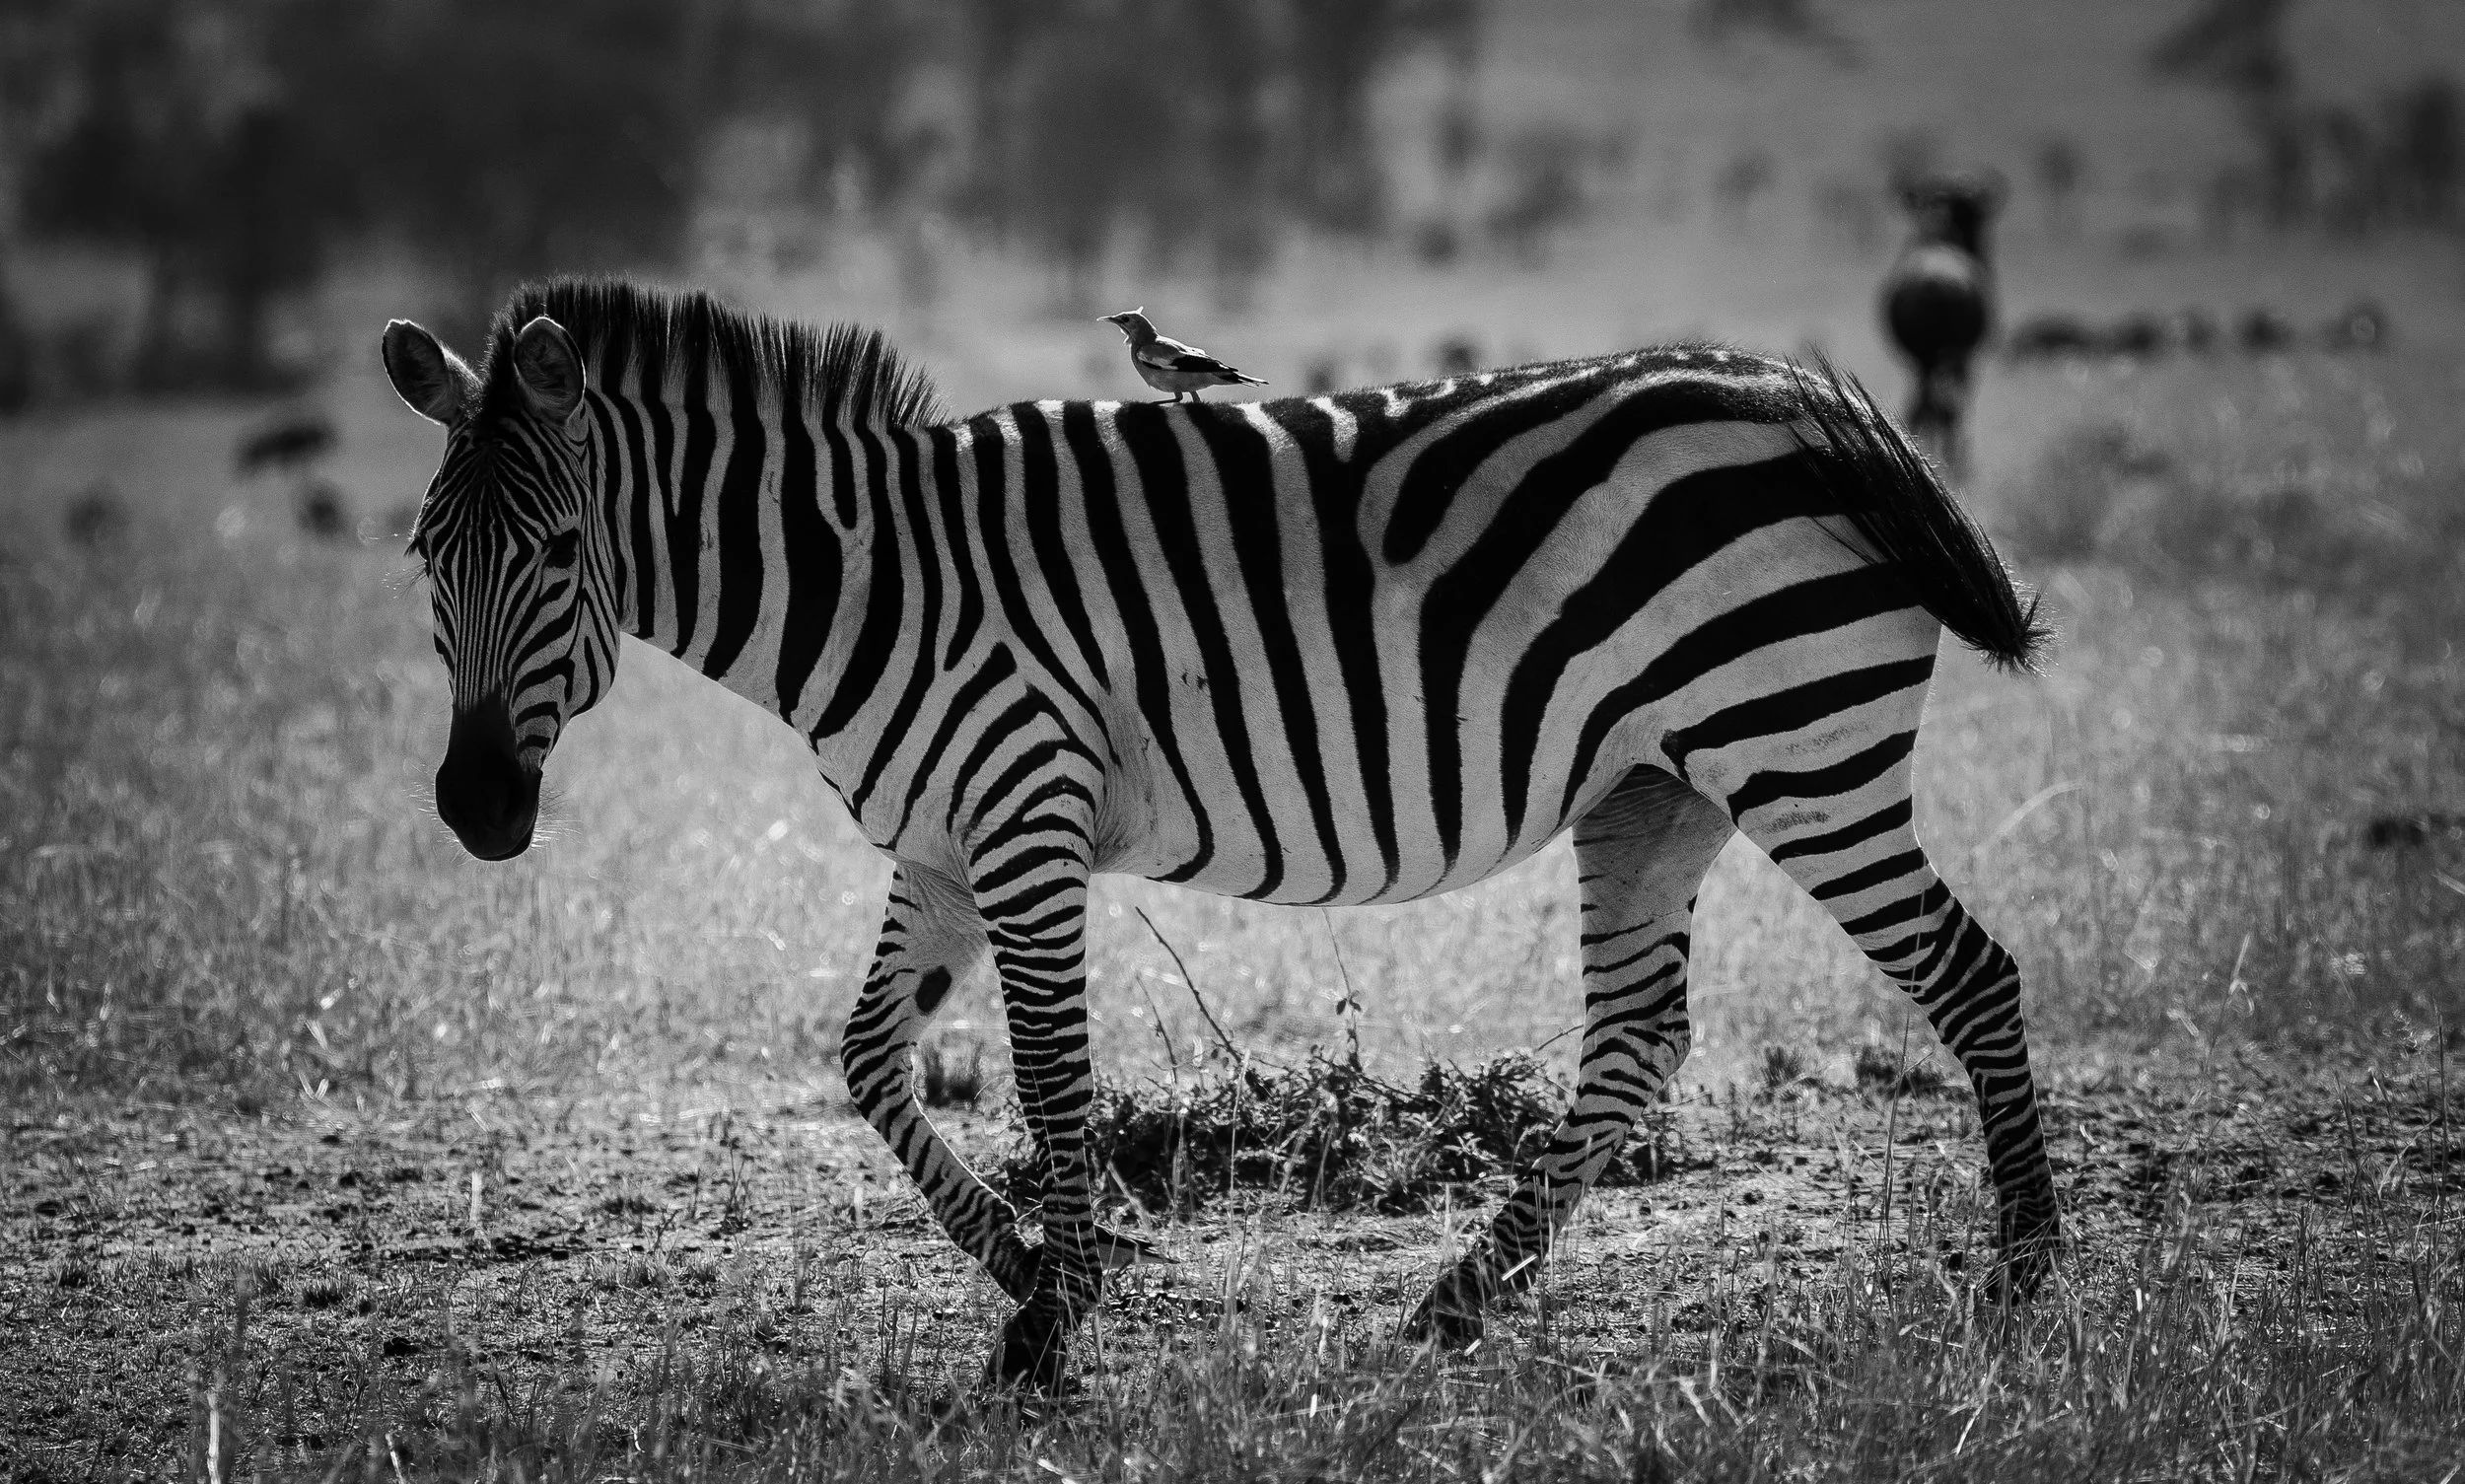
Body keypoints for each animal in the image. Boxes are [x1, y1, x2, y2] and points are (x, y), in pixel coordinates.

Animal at [381, 278, 2061, 1390]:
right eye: (421, 556)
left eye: (556, 549)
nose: (476, 811)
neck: (868, 579)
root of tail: (1797, 400)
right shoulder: (939, 839)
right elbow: (866, 1060)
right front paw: (1034, 1271)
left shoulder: (1023, 810)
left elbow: (1054, 1082)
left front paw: (1048, 1327)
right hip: (1657, 790)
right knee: (1639, 1037)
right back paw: (1460, 1302)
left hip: (1800, 743)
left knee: (1971, 976)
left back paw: (2027, 1280)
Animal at [1881, 172, 2002, 475]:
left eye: (1970, 211)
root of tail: (1937, 283)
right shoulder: (1970, 356)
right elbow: (1958, 403)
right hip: (1945, 357)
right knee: (1942, 403)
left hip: (1927, 358)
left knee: (1925, 403)